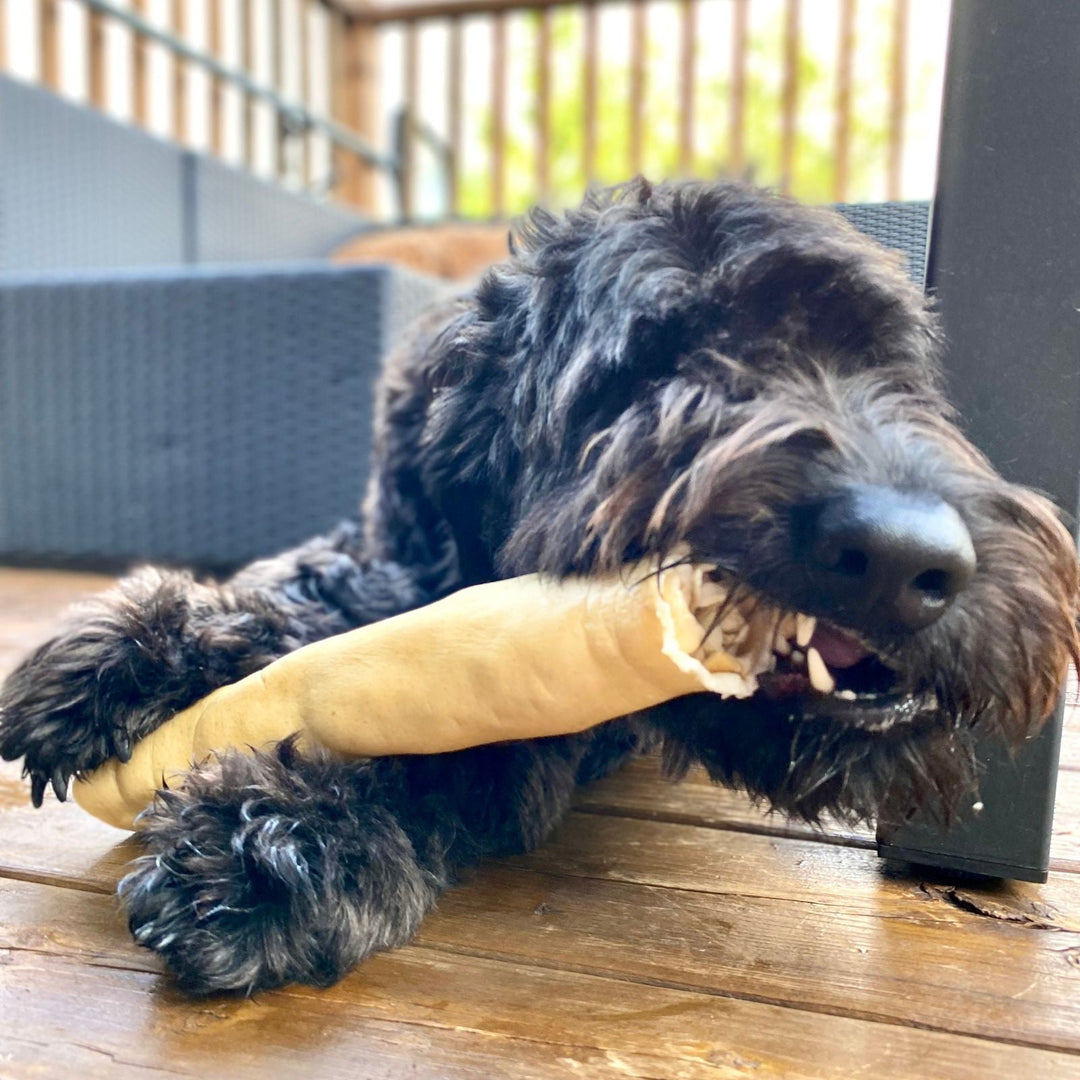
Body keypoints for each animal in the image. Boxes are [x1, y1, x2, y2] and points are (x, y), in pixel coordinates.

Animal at [2, 179, 1080, 993]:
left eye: (889, 367)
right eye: (649, 368)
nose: (904, 555)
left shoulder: (543, 705)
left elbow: (436, 740)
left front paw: (280, 835)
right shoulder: (395, 552)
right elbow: (310, 588)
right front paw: (125, 657)